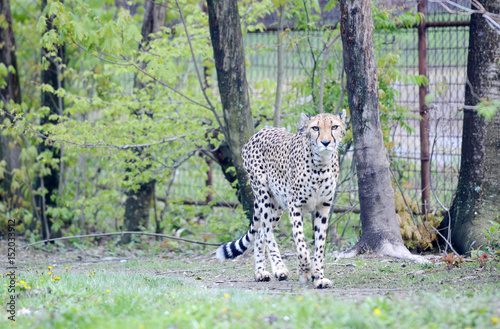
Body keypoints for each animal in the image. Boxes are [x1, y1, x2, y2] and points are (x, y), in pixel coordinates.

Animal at [217, 110, 346, 288]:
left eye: (334, 127)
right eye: (315, 128)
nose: (326, 142)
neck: (321, 164)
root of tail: (260, 132)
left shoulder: (323, 206)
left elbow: (320, 244)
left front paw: (319, 277)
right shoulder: (295, 204)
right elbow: (300, 242)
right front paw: (305, 271)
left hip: (277, 204)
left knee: (260, 233)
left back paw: (260, 273)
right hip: (264, 194)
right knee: (267, 230)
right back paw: (279, 268)